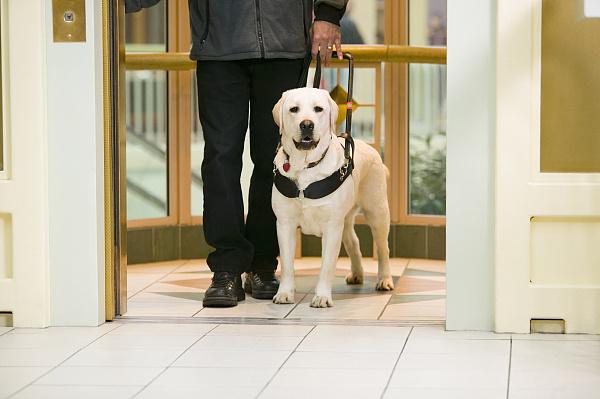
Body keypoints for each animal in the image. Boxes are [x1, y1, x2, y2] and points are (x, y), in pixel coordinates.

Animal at [272, 86, 394, 306]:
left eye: (318, 109)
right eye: (294, 109)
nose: (307, 124)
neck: (305, 166)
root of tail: (372, 149)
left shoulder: (331, 227)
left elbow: (327, 266)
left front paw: (321, 297)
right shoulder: (285, 224)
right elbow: (286, 264)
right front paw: (285, 293)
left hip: (377, 212)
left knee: (383, 248)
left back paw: (385, 279)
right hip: (345, 220)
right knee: (353, 242)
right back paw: (357, 274)